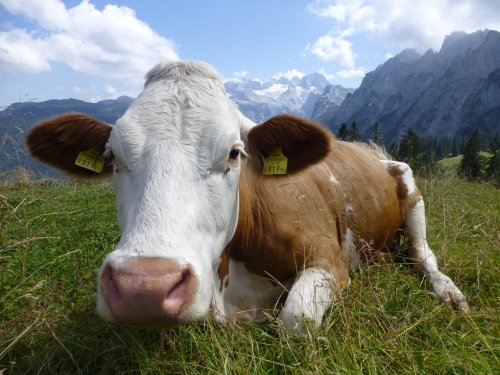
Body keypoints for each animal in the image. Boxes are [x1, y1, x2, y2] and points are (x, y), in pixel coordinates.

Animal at [24, 60, 468, 334]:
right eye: (113, 157)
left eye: (234, 153)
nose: (143, 289)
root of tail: (371, 150)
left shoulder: (329, 258)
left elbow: (296, 319)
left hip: (411, 190)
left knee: (423, 253)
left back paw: (449, 292)